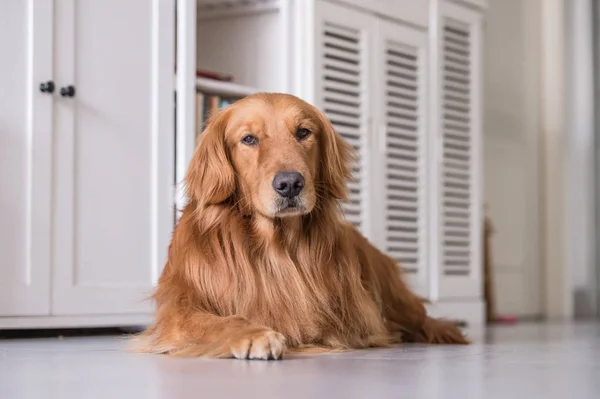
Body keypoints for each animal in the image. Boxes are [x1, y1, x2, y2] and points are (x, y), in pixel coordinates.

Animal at [136, 93, 468, 360]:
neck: (274, 245)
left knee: (426, 319)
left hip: (395, 298)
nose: (290, 184)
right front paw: (254, 334)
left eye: (303, 132)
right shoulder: (178, 312)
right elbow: (217, 321)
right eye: (248, 139)